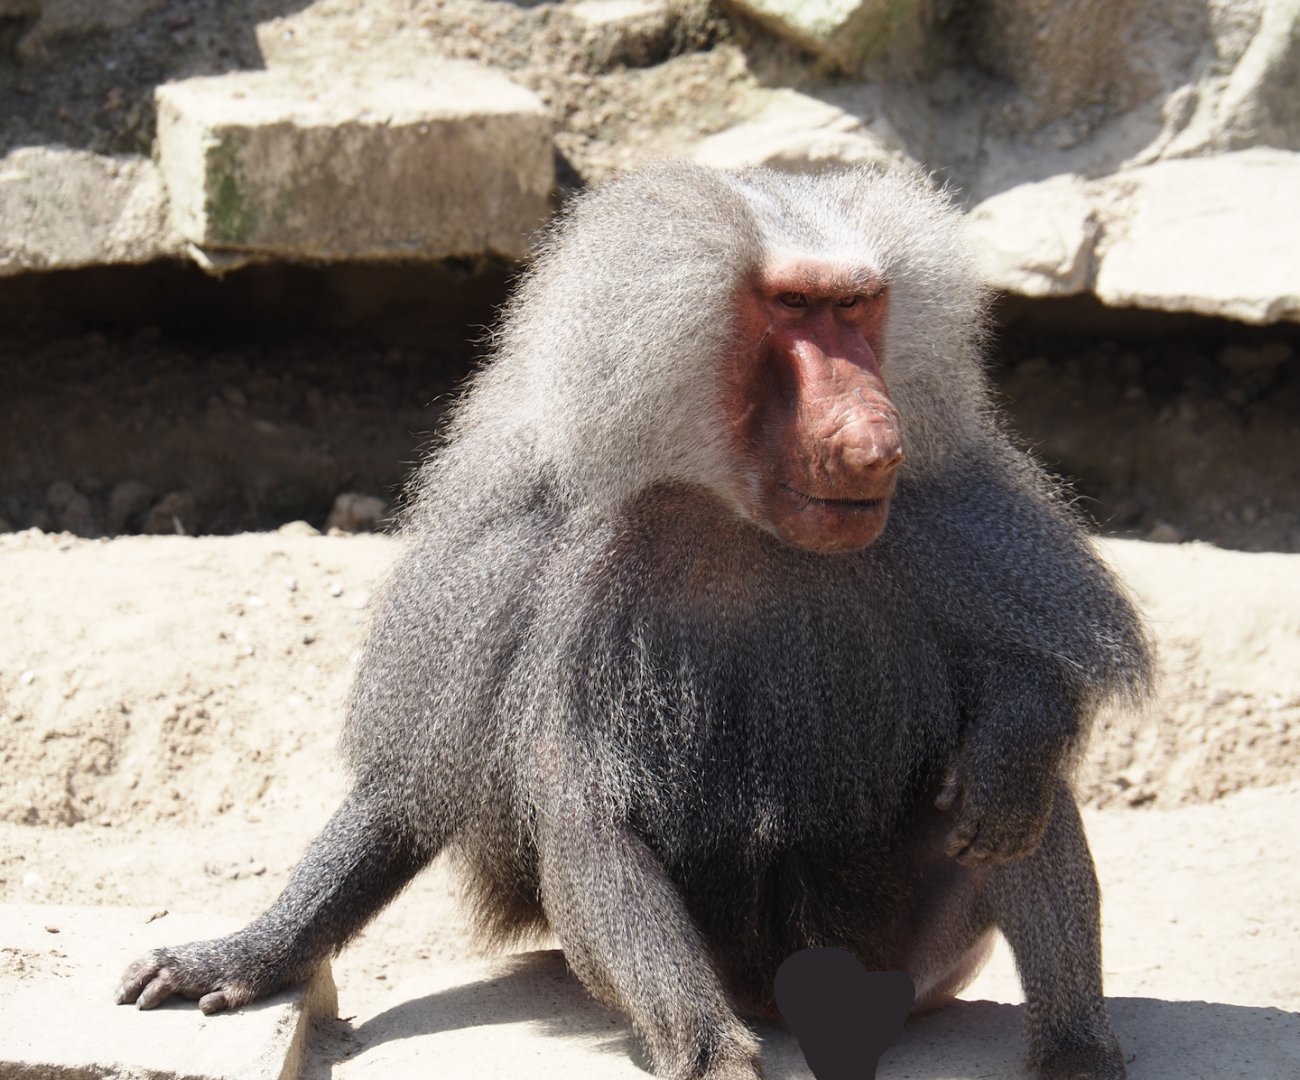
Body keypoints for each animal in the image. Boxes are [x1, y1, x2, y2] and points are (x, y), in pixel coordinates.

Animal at [116, 162, 1150, 1080]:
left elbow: (1023, 677)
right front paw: (250, 952)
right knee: (576, 794)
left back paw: (1072, 1043)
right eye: (793, 307)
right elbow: (416, 786)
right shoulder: (519, 529)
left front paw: (1015, 739)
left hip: (910, 958)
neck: (727, 503)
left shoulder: (946, 498)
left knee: (1021, 794)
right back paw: (708, 1054)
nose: (876, 442)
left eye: (856, 308)